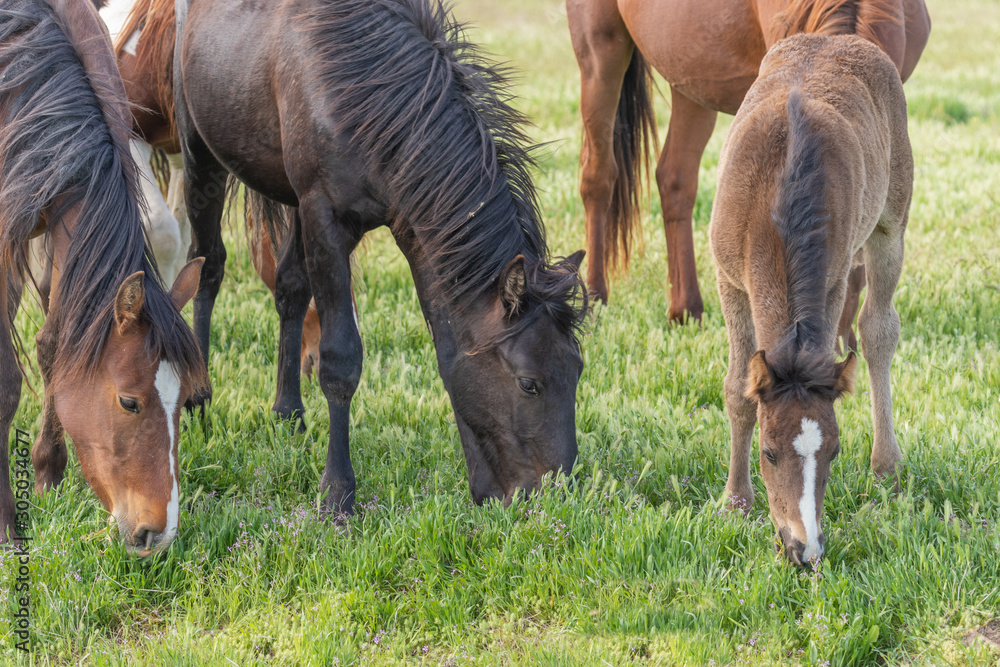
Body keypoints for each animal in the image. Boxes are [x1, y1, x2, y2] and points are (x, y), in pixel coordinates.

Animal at [0, 0, 205, 556]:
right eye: (129, 402)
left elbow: (55, 345)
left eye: (184, 400)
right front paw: (9, 526)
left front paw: (47, 471)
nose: (159, 534)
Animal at [176, 0, 588, 516]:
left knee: (288, 290)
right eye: (528, 383)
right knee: (207, 266)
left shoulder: (321, 213)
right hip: (200, 154)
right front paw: (337, 494)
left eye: (577, 371)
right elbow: (340, 360)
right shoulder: (326, 217)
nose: (553, 500)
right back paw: (198, 399)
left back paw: (288, 413)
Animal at [568, 0, 932, 324]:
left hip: (689, 81)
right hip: (601, 57)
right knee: (598, 177)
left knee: (675, 180)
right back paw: (595, 299)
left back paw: (686, 310)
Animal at [712, 30, 916, 564]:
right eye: (768, 451)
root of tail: (836, 36)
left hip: (890, 223)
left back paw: (887, 465)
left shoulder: (836, 275)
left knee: (878, 330)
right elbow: (737, 388)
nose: (804, 550)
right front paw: (735, 501)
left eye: (834, 451)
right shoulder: (728, 279)